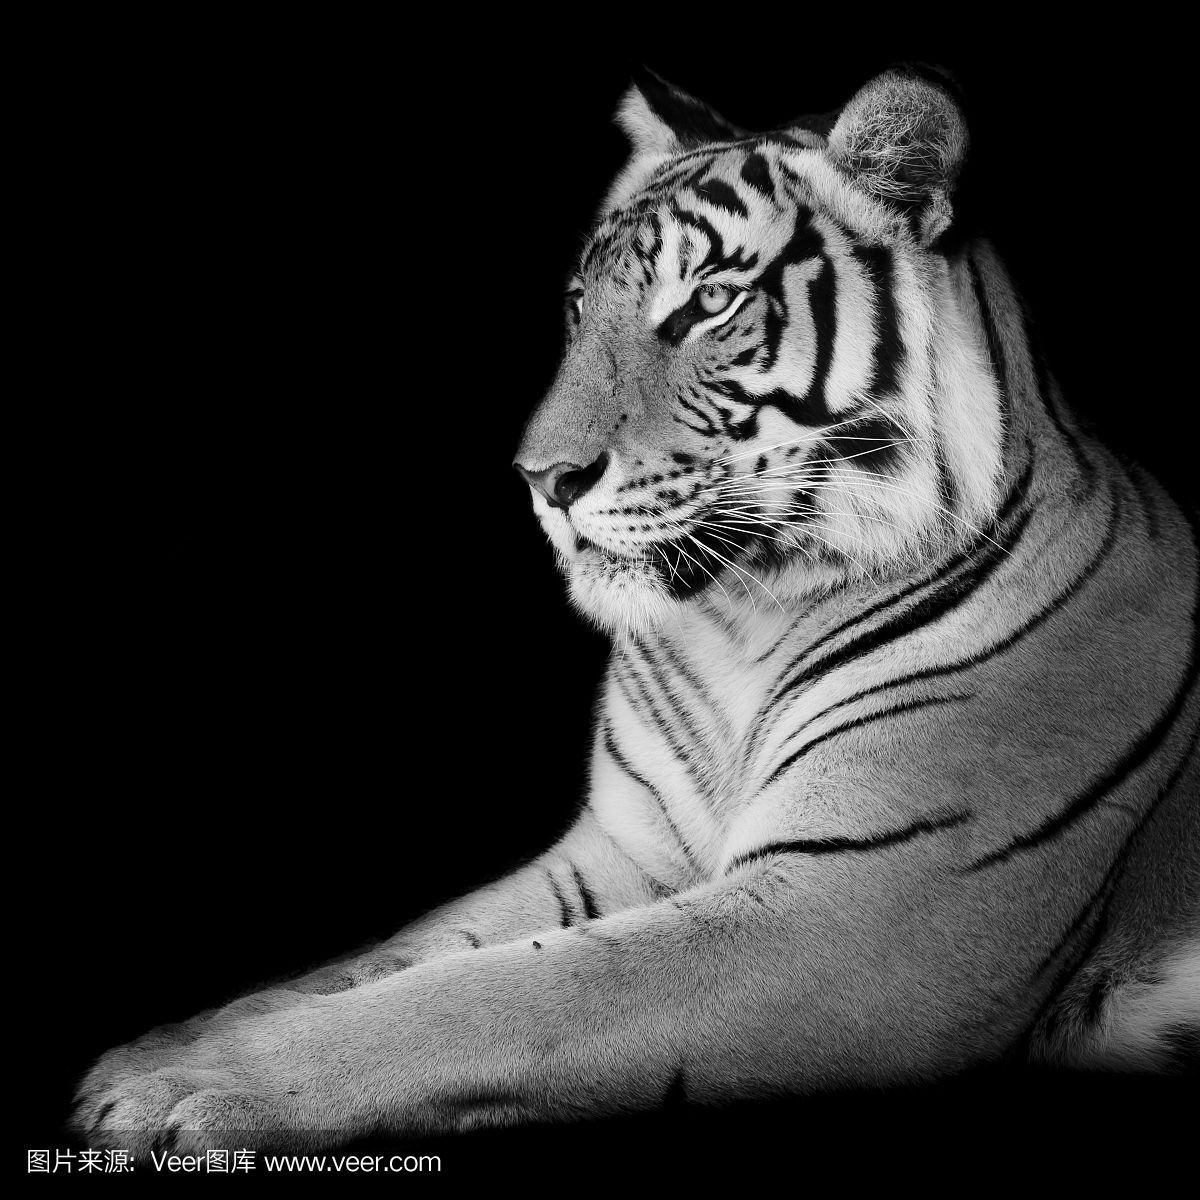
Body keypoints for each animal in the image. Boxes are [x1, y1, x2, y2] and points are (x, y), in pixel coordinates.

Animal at [74, 66, 1198, 1153]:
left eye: (709, 303)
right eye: (580, 306)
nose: (542, 479)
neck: (742, 619)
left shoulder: (862, 905)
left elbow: (512, 991)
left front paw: (194, 1084)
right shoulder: (621, 851)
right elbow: (399, 951)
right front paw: (171, 1042)